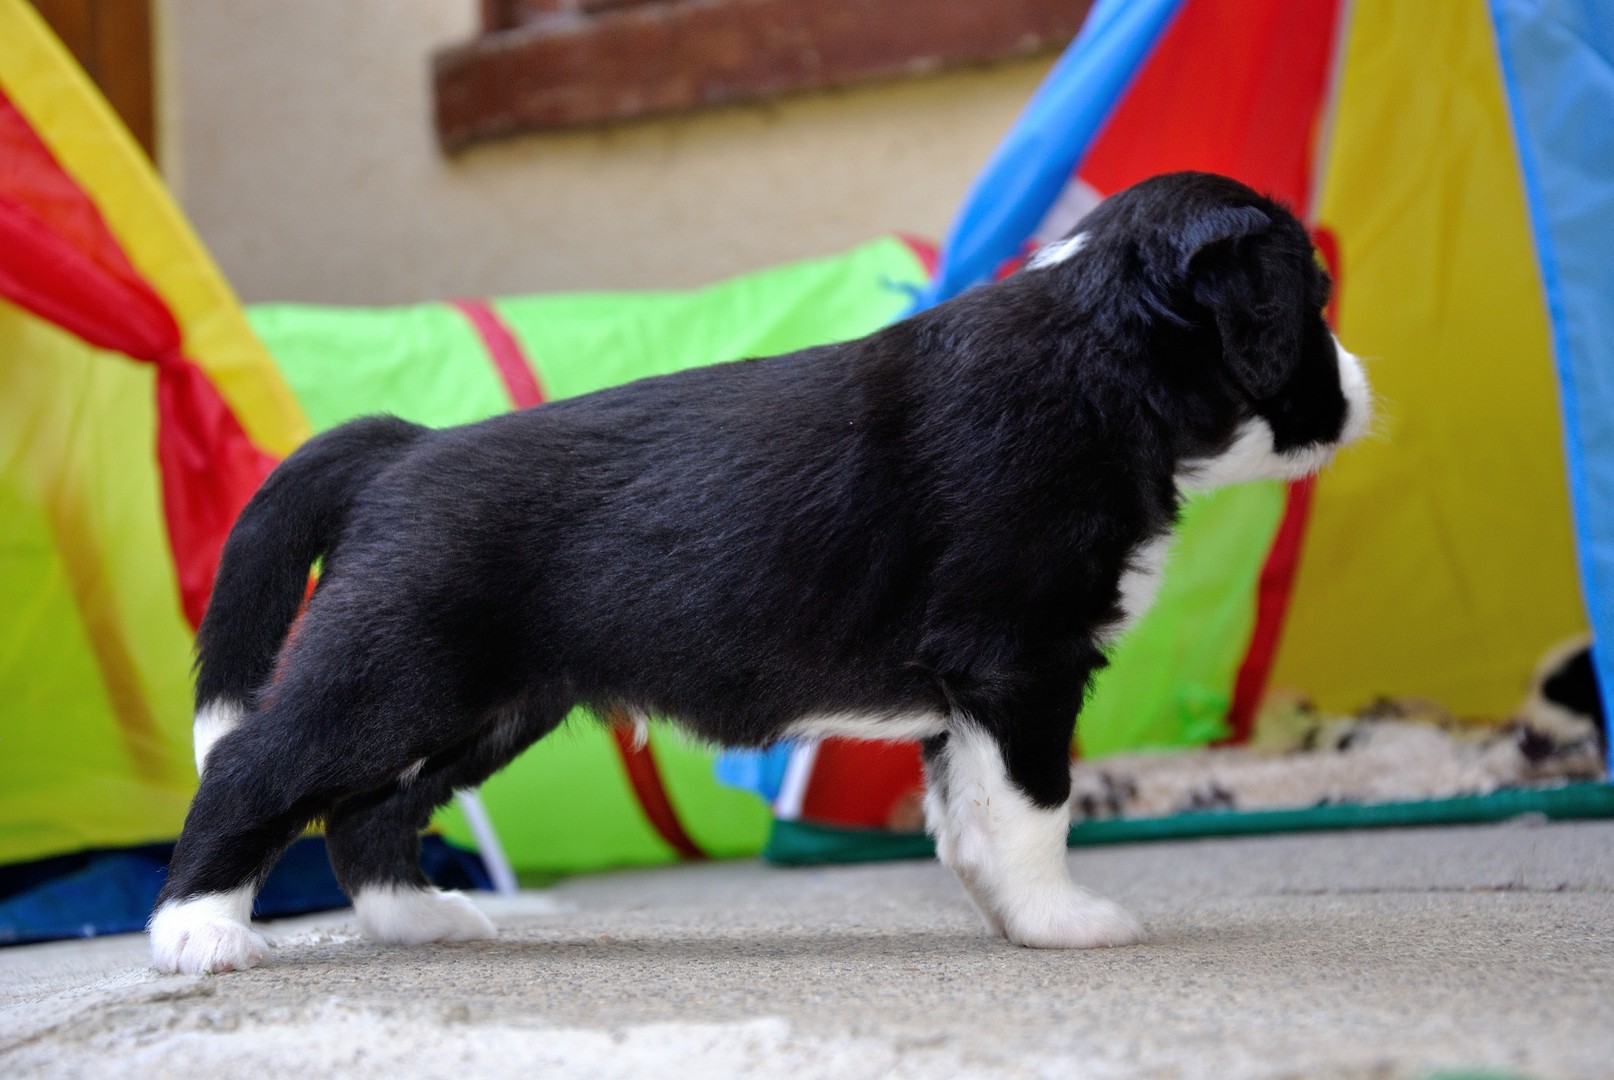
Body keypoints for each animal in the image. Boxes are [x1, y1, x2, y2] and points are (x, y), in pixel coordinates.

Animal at [150, 172, 1372, 974]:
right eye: (1307, 298)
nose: (1362, 392)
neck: (1094, 355)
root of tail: (405, 446)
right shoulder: (1019, 663)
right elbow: (1036, 806)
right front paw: (1065, 922)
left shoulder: (970, 692)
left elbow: (968, 813)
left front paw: (1011, 916)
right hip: (390, 674)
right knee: (256, 769)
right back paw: (196, 933)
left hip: (481, 708)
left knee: (365, 817)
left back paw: (423, 921)